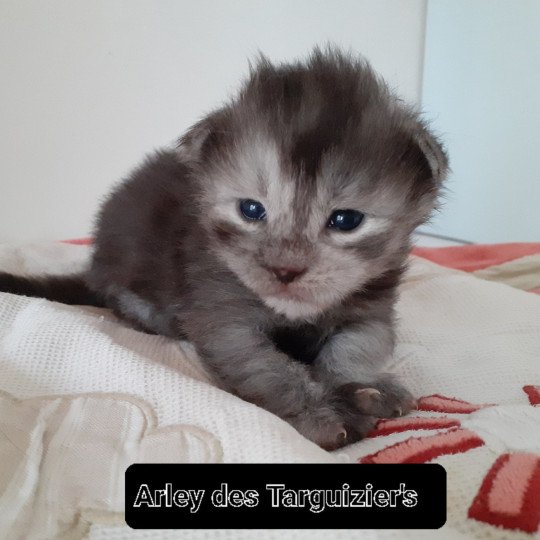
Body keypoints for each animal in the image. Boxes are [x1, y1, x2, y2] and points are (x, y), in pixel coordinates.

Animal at [0, 49, 448, 448]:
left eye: (346, 221)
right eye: (251, 210)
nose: (285, 270)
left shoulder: (373, 307)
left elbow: (359, 346)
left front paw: (364, 387)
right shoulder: (222, 317)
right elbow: (268, 368)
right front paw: (316, 413)